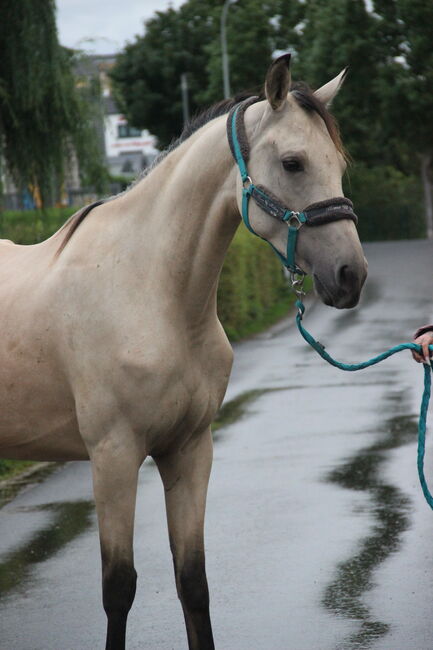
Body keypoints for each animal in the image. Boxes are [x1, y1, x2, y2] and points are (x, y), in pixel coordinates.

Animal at [0, 53, 364, 644]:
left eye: (338, 163)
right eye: (292, 163)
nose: (350, 275)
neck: (150, 291)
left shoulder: (190, 450)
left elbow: (193, 580)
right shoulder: (114, 457)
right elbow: (119, 588)